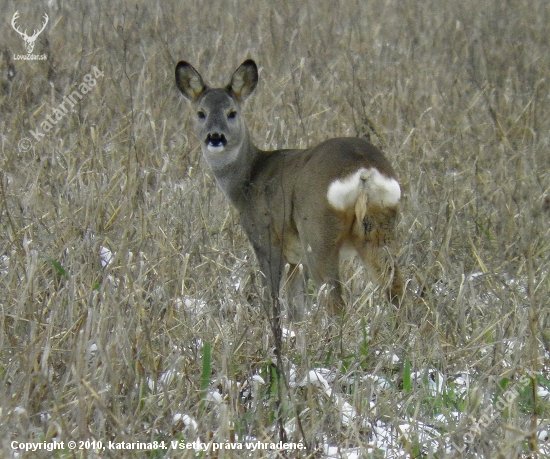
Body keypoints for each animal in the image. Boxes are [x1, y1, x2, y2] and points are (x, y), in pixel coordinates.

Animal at [177, 59, 406, 318]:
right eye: (201, 113)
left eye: (232, 113)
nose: (215, 137)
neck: (248, 179)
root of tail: (364, 169)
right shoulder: (295, 258)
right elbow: (297, 307)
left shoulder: (265, 238)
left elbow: (273, 298)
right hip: (379, 228)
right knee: (396, 287)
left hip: (317, 232)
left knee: (335, 301)